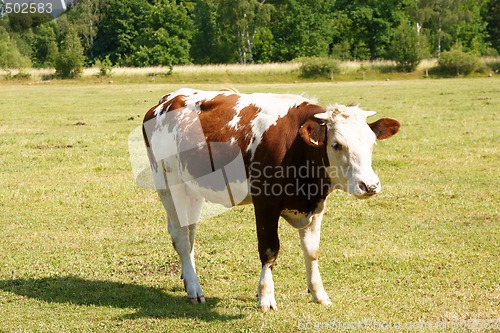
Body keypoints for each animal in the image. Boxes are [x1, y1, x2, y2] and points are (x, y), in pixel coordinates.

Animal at [143, 87, 400, 310]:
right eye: (337, 144)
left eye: (372, 142)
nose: (370, 185)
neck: (298, 148)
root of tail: (168, 99)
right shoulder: (265, 202)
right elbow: (269, 250)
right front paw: (266, 297)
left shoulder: (316, 205)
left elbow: (312, 251)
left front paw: (319, 294)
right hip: (169, 184)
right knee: (181, 236)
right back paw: (194, 289)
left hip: (193, 189)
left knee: (190, 234)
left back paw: (188, 277)